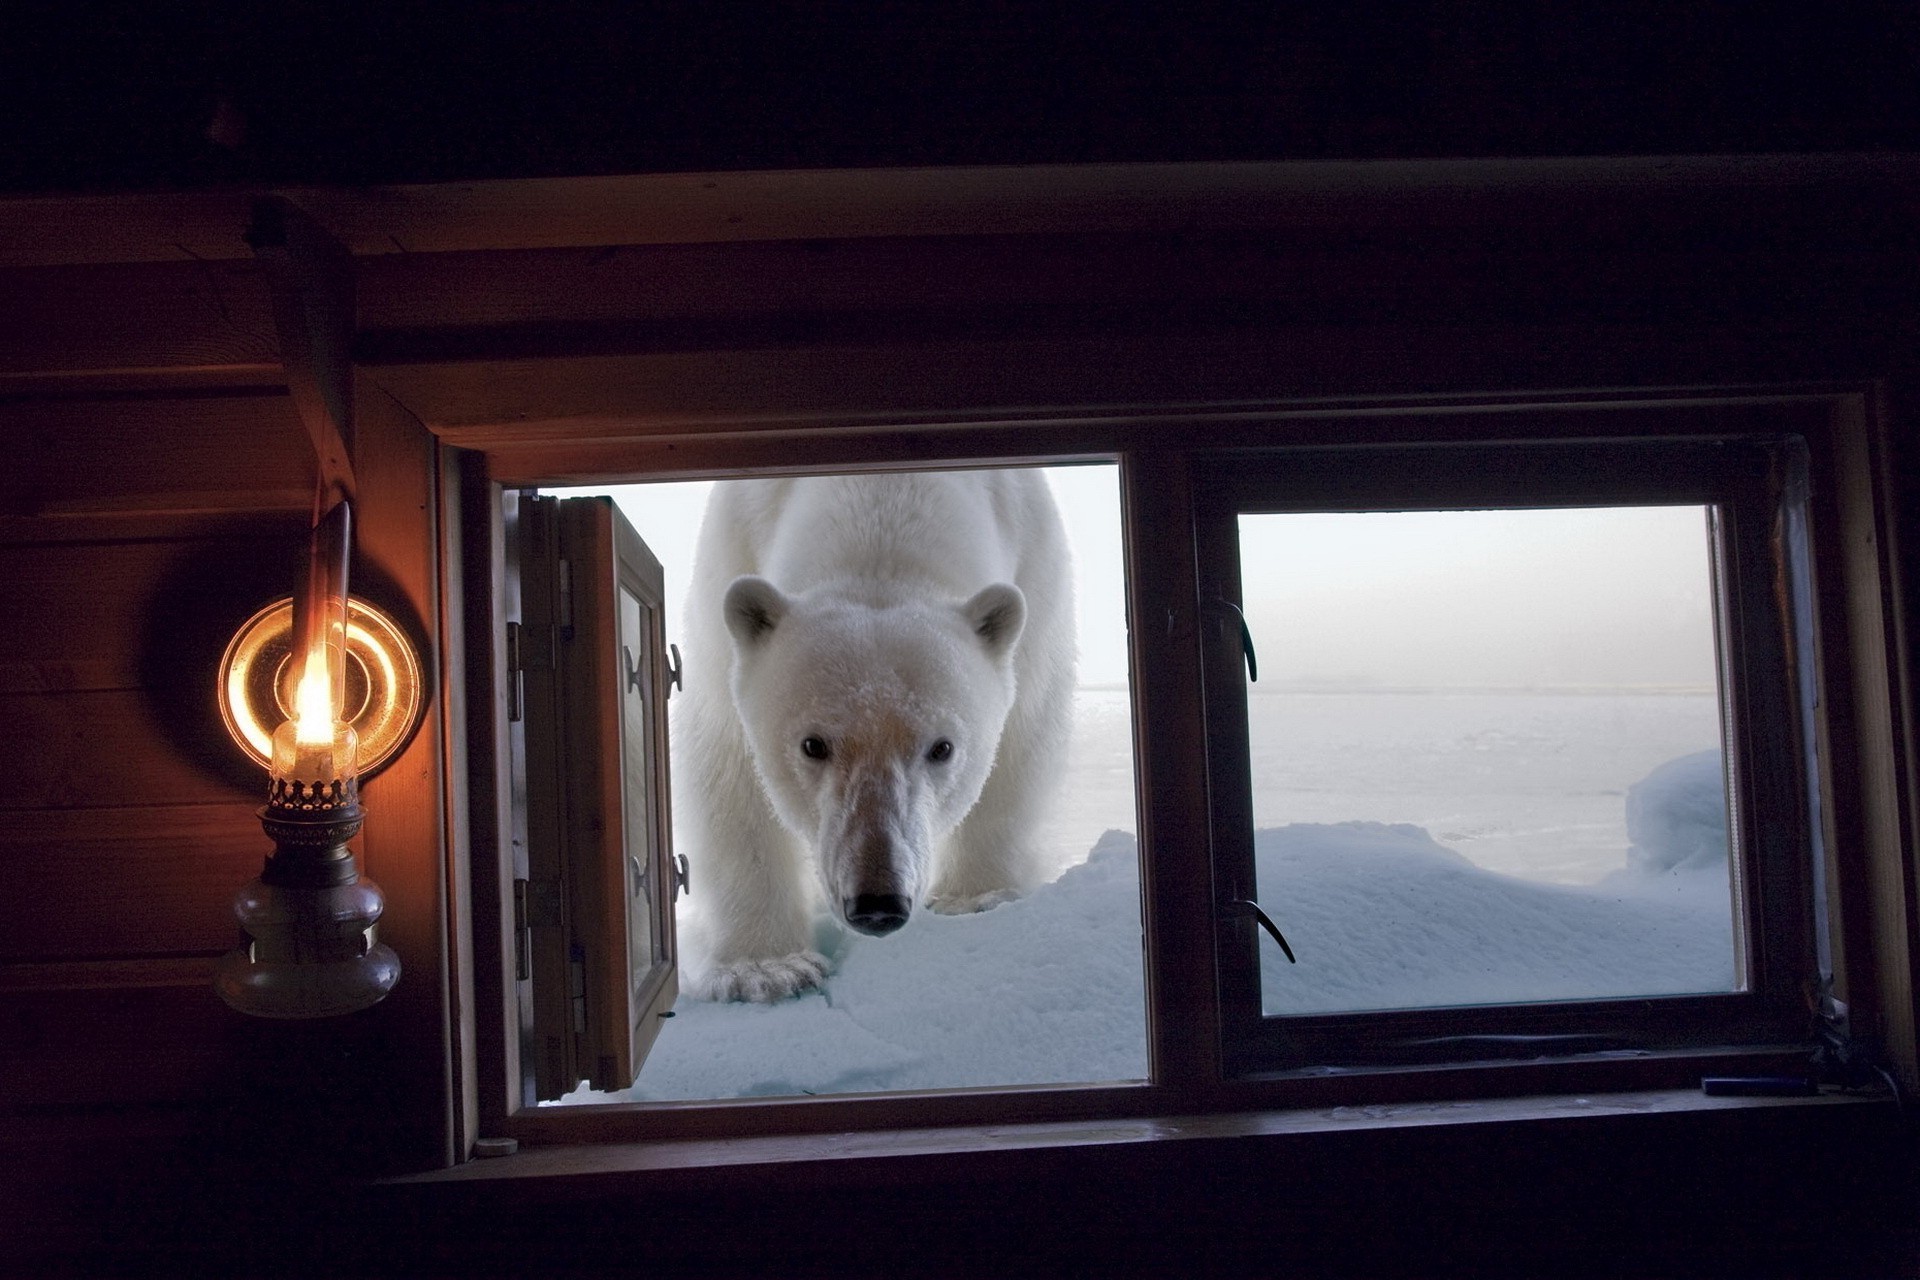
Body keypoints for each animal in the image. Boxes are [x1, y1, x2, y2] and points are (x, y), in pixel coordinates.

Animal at [675, 468, 1075, 997]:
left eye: (942, 748)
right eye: (813, 744)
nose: (878, 903)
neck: (883, 494)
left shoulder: (1035, 565)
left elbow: (1022, 737)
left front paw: (974, 897)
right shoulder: (731, 556)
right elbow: (729, 766)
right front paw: (767, 969)